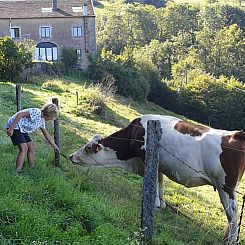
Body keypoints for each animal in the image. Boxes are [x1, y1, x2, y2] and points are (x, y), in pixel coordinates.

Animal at [69, 115, 245, 243]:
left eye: (87, 148)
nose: (71, 156)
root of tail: (235, 134)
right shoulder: (158, 163)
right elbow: (159, 182)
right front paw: (160, 205)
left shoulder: (146, 157)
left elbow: (153, 183)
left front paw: (152, 205)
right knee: (231, 217)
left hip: (225, 186)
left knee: (232, 213)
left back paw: (230, 241)